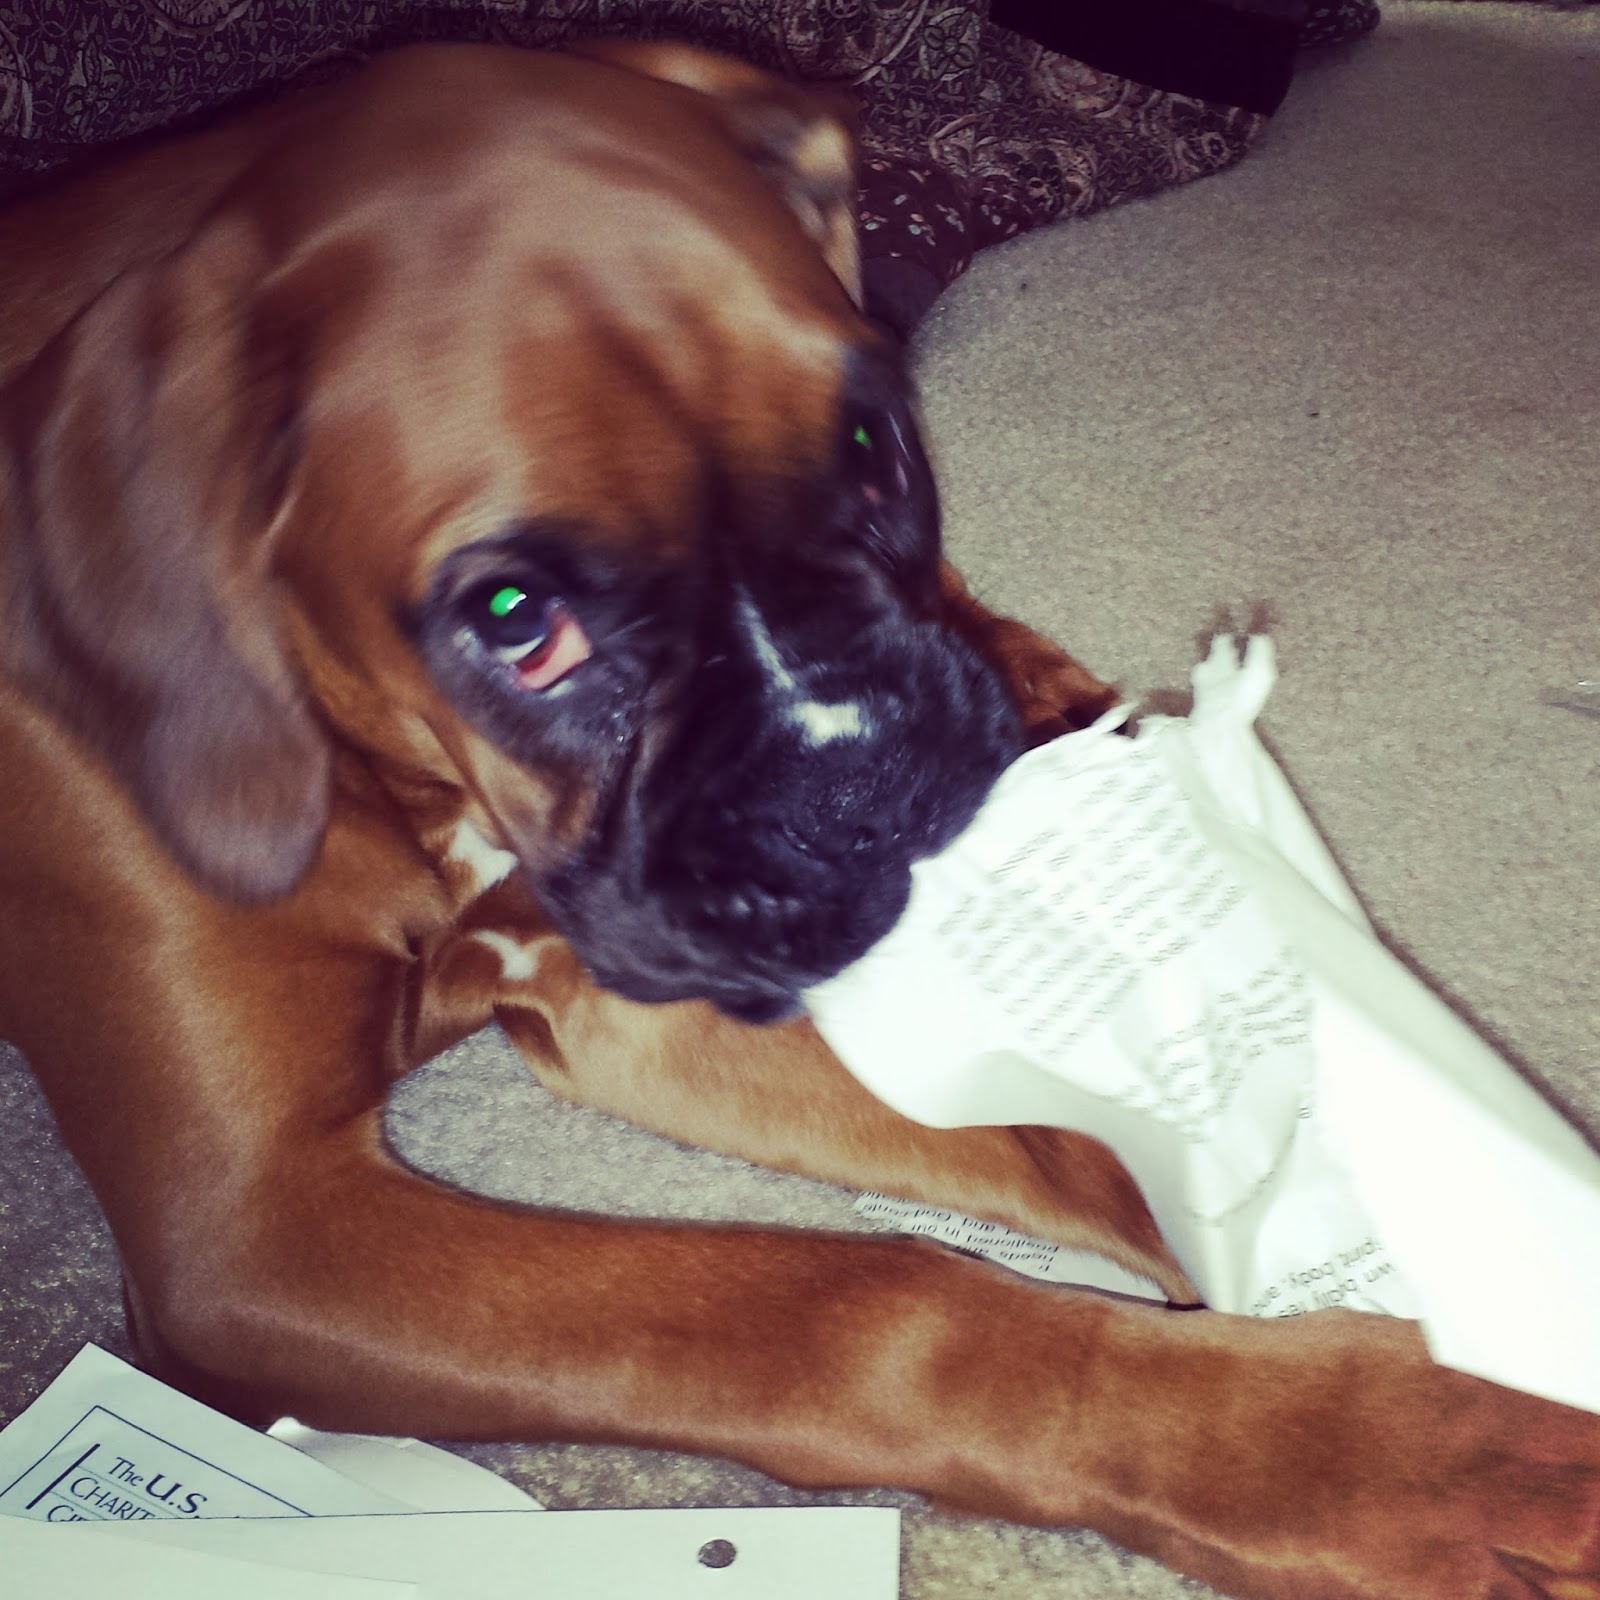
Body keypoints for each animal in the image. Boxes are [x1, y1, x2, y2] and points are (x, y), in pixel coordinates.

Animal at [1, 41, 1596, 1600]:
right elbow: (866, 1306)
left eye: (875, 439)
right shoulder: (255, 1230)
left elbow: (1056, 1138)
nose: (869, 781)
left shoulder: (623, 996)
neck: (398, 780)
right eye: (513, 617)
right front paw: (1349, 1451)